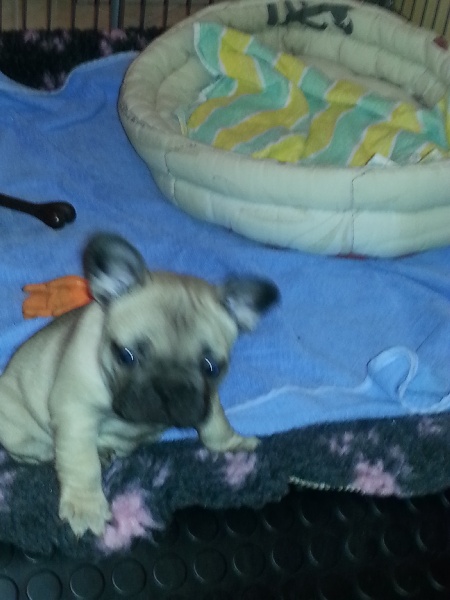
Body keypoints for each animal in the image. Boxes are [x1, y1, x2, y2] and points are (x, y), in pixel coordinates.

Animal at [0, 233, 279, 537]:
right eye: (126, 356)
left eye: (211, 367)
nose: (168, 389)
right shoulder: (75, 413)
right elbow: (81, 462)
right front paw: (86, 506)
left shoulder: (207, 400)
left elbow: (216, 425)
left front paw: (232, 445)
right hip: (17, 431)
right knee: (40, 452)